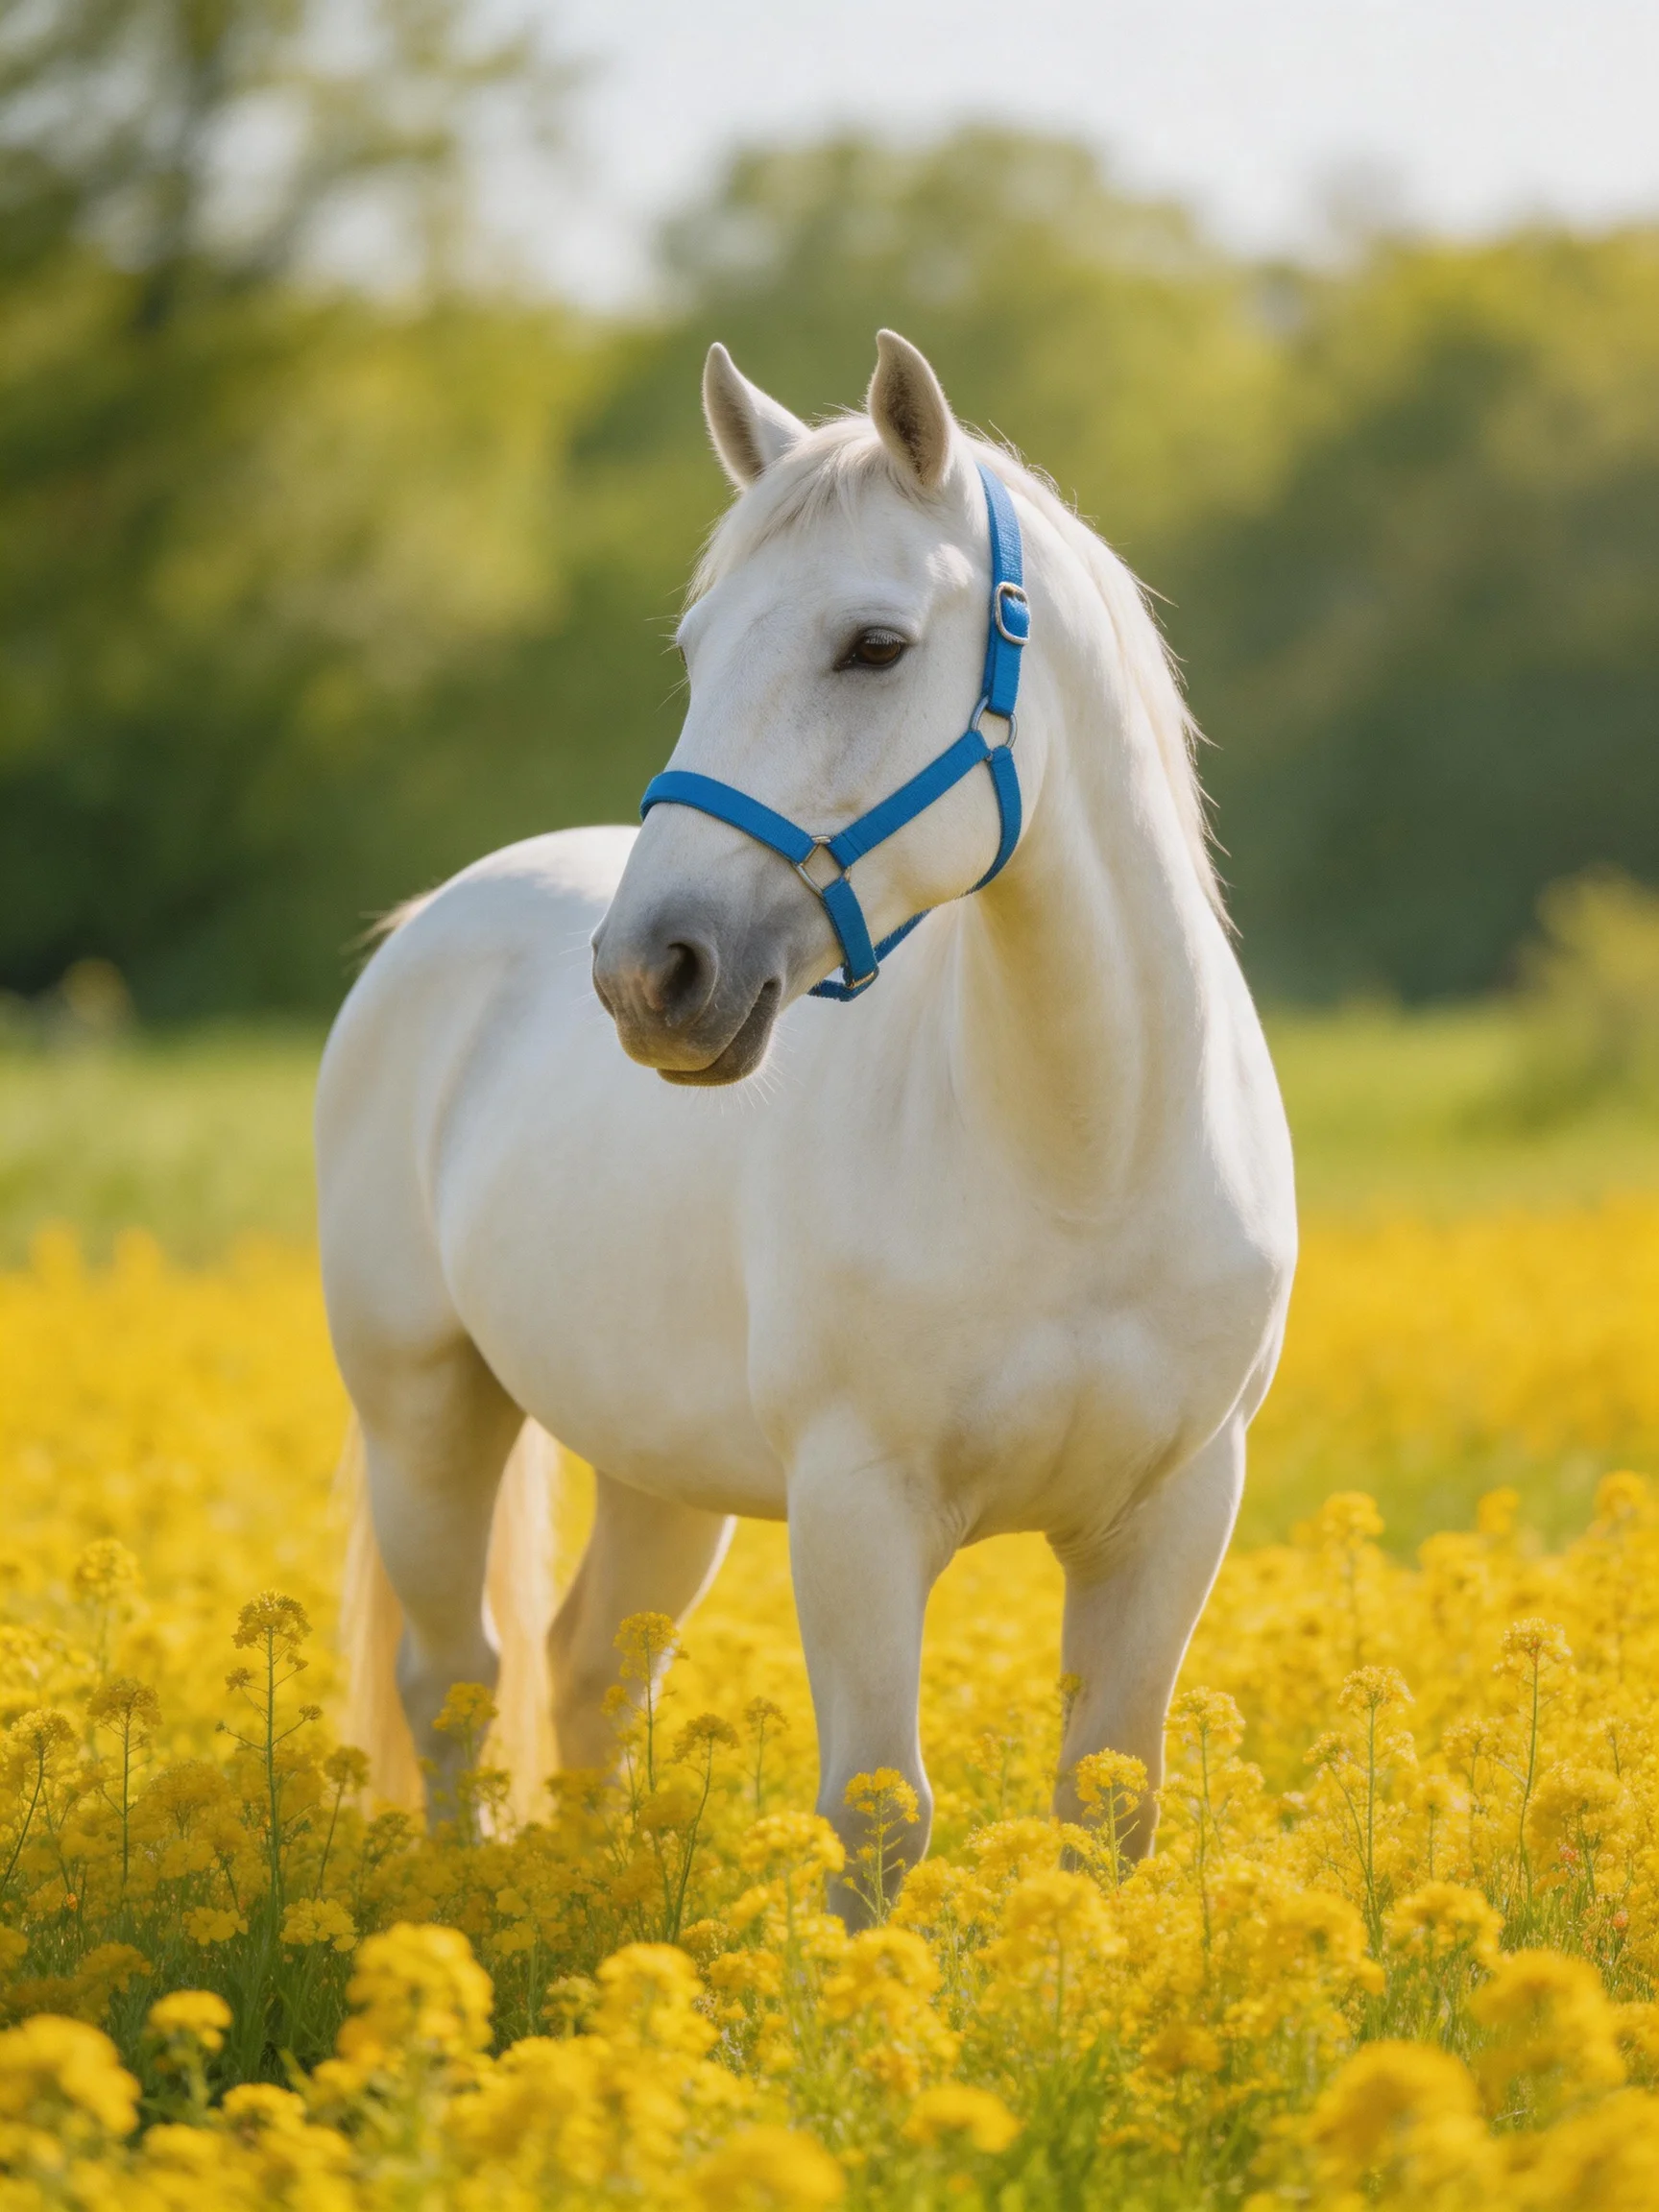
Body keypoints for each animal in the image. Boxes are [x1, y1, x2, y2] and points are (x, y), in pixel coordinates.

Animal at [317, 329, 1297, 1913]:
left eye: (875, 645)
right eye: (698, 651)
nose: (650, 975)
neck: (1082, 1157)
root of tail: (436, 922)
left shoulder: (1172, 1512)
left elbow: (1109, 1808)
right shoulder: (859, 1507)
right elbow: (880, 1815)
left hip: (657, 1468)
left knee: (586, 1675)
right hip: (425, 1413)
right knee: (454, 1683)